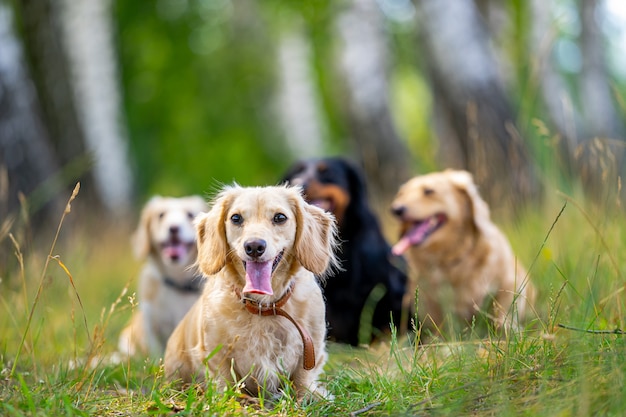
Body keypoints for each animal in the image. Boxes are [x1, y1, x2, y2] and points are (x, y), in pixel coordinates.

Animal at [162, 186, 336, 400]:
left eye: (280, 217)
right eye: (236, 218)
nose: (254, 246)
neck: (264, 307)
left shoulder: (311, 348)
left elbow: (302, 381)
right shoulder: (216, 353)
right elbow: (224, 380)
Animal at [390, 167, 532, 334]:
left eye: (429, 191)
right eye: (401, 194)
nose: (396, 209)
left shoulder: (510, 282)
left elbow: (503, 313)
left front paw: (509, 330)